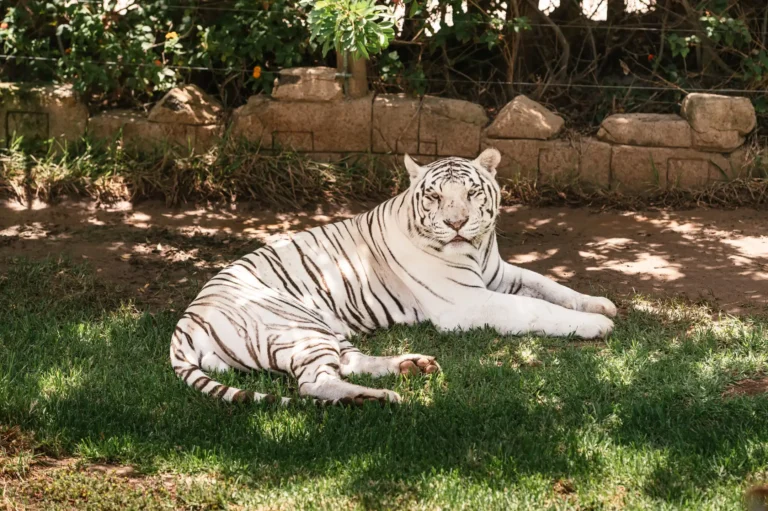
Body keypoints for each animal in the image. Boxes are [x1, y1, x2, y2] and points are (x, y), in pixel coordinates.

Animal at [170, 148, 617, 406]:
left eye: (472, 193)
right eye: (435, 196)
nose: (456, 224)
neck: (476, 248)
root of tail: (186, 321)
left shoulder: (498, 274)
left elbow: (548, 284)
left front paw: (599, 303)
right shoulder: (470, 302)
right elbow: (536, 309)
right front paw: (594, 324)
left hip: (319, 329)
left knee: (346, 362)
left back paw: (410, 366)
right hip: (295, 325)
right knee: (314, 383)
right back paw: (377, 399)